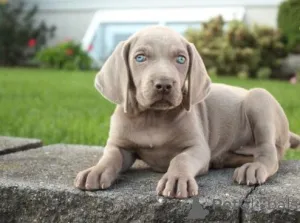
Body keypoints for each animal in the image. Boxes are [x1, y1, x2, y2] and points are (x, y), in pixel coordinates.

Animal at [74, 24, 298, 199]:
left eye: (181, 59)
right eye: (140, 58)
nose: (164, 84)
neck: (152, 117)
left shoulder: (197, 147)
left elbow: (180, 159)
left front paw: (176, 179)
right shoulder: (120, 145)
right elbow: (111, 156)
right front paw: (96, 170)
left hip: (259, 100)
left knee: (270, 153)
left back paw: (255, 167)